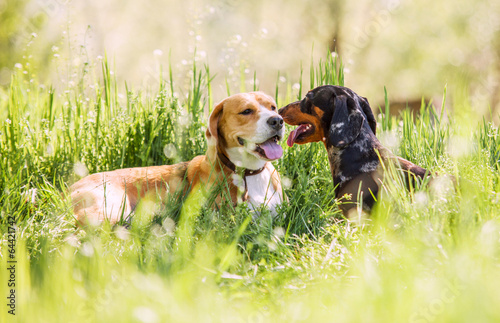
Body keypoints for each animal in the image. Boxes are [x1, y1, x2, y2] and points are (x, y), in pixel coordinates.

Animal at [72, 91, 288, 225]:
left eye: (273, 107)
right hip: (112, 210)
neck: (250, 173)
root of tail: (70, 188)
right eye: (246, 111)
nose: (277, 121)